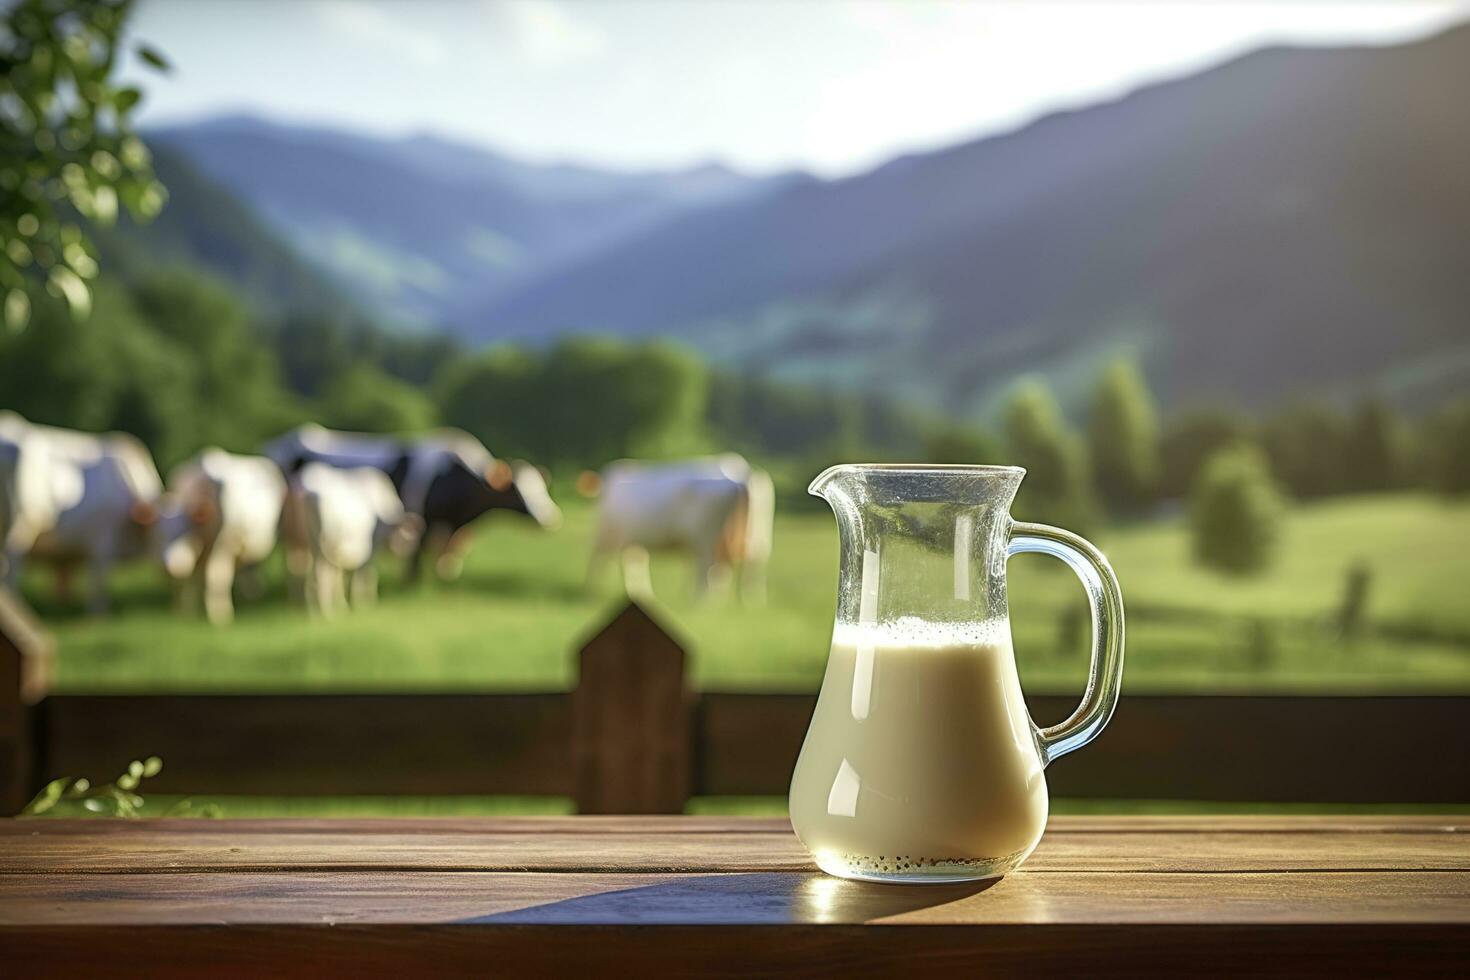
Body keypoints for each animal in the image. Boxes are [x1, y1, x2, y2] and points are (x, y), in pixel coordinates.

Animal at [0, 408, 165, 608]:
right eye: (162, 533)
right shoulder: (102, 540)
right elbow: (98, 584)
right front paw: (98, 612)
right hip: (19, 529)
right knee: (10, 573)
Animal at [158, 449, 289, 625]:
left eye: (186, 531)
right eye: (160, 534)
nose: (171, 566)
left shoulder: (222, 545)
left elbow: (217, 577)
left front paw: (219, 615)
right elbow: (187, 582)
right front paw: (184, 612)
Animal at [261, 423, 558, 578]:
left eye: (540, 487)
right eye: (518, 490)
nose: (548, 516)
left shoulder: (454, 531)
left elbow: (445, 561)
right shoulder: (421, 523)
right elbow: (414, 563)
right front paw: (411, 585)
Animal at [280, 464, 423, 617]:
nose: (410, 552)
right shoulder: (372, 545)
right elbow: (366, 573)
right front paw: (364, 605)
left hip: (301, 542)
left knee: (298, 571)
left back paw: (307, 611)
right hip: (325, 542)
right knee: (322, 574)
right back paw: (327, 613)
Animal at [585, 455, 776, 602]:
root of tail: (743, 475)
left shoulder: (614, 536)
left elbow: (615, 563)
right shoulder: (631, 540)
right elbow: (636, 562)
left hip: (707, 538)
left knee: (707, 565)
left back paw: (700, 602)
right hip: (757, 534)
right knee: (754, 560)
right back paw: (749, 600)